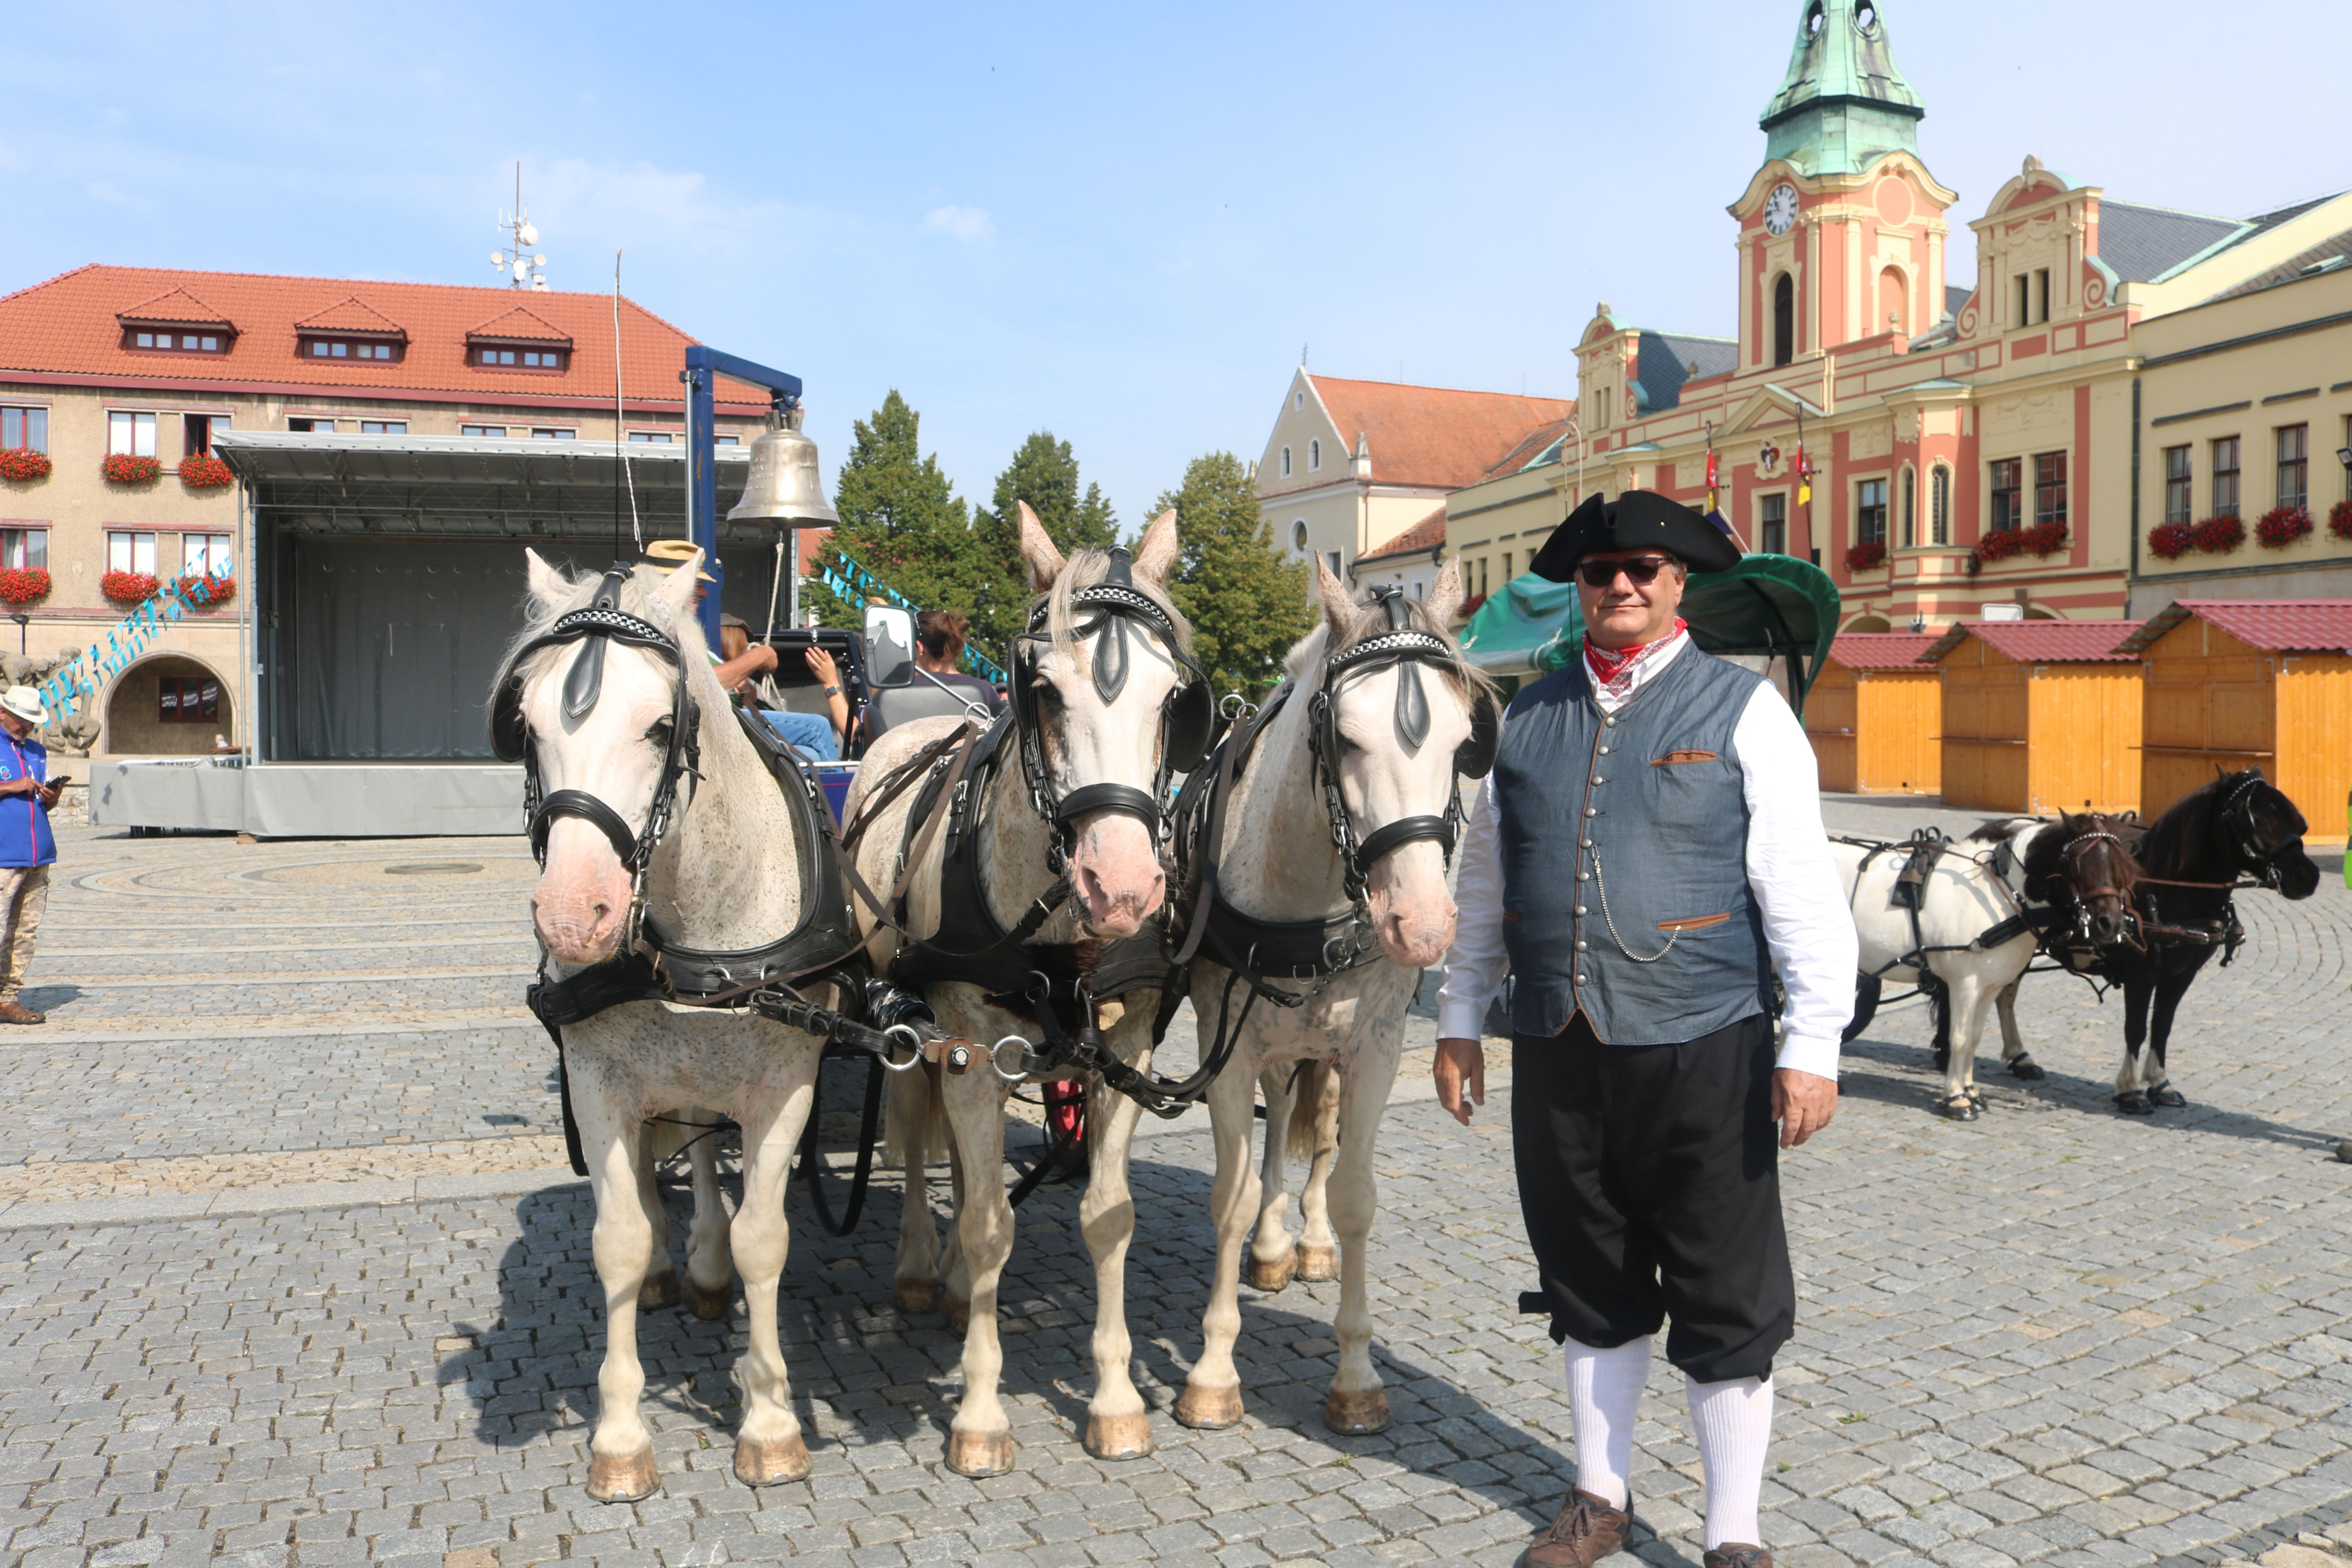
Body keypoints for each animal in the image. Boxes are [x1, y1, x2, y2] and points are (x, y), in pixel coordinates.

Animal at [496, 552, 828, 1495]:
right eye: (526, 722)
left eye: (657, 727)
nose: (574, 918)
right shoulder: (600, 1084)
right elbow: (618, 1237)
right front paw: (619, 1437)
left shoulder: (785, 1085)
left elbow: (764, 1238)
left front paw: (770, 1421)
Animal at [842, 510, 1195, 1476]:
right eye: (1042, 691)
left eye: (1172, 699)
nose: (1123, 887)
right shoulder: (964, 1044)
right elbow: (989, 1224)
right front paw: (979, 1414)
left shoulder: (1124, 1052)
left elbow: (1107, 1217)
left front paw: (1116, 1403)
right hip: (912, 1026)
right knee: (915, 1130)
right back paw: (923, 1268)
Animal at [1176, 557, 1486, 1439]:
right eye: (1345, 738)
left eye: (1464, 743)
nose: (1421, 925)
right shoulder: (1227, 1050)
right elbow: (1234, 1195)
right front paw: (1213, 1370)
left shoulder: (1376, 1047)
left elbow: (1354, 1195)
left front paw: (1355, 1375)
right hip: (1275, 1043)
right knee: (1283, 1123)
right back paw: (1275, 1245)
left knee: (1316, 1136)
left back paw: (1307, 1240)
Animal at [2079, 771, 2314, 1114]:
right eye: (2254, 820)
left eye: (2292, 818)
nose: (2308, 876)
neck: (2163, 886)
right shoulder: (2140, 975)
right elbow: (2135, 1030)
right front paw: (2130, 1090)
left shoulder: (2182, 974)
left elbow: (2162, 1025)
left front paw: (2160, 1083)